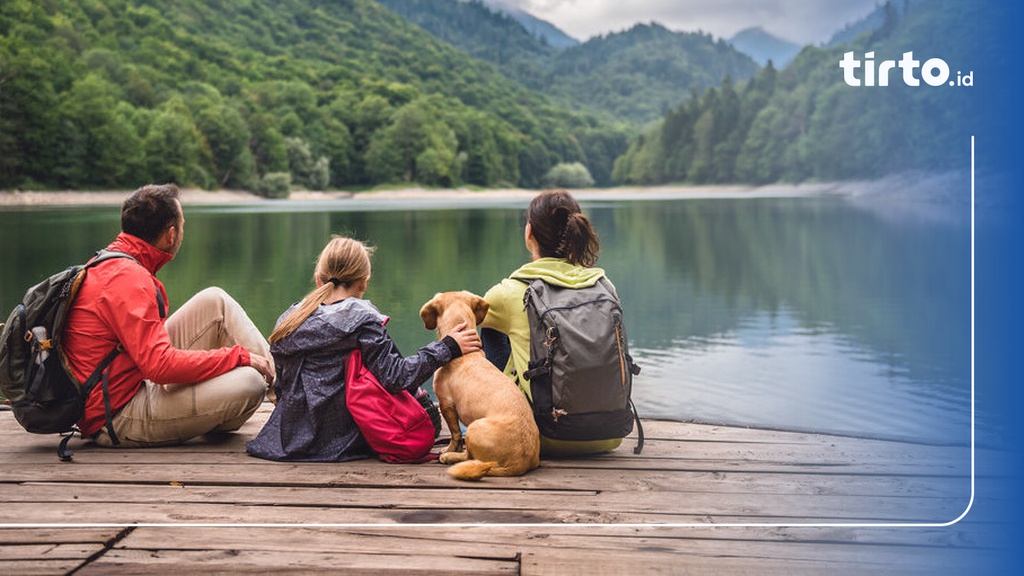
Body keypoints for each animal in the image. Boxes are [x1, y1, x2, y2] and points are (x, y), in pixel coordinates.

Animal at [419, 289, 540, 477]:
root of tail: (518, 463)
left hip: (473, 428)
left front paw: (448, 449)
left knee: (469, 456)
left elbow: (454, 433)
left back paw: (449, 457)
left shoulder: (446, 404)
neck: (465, 354)